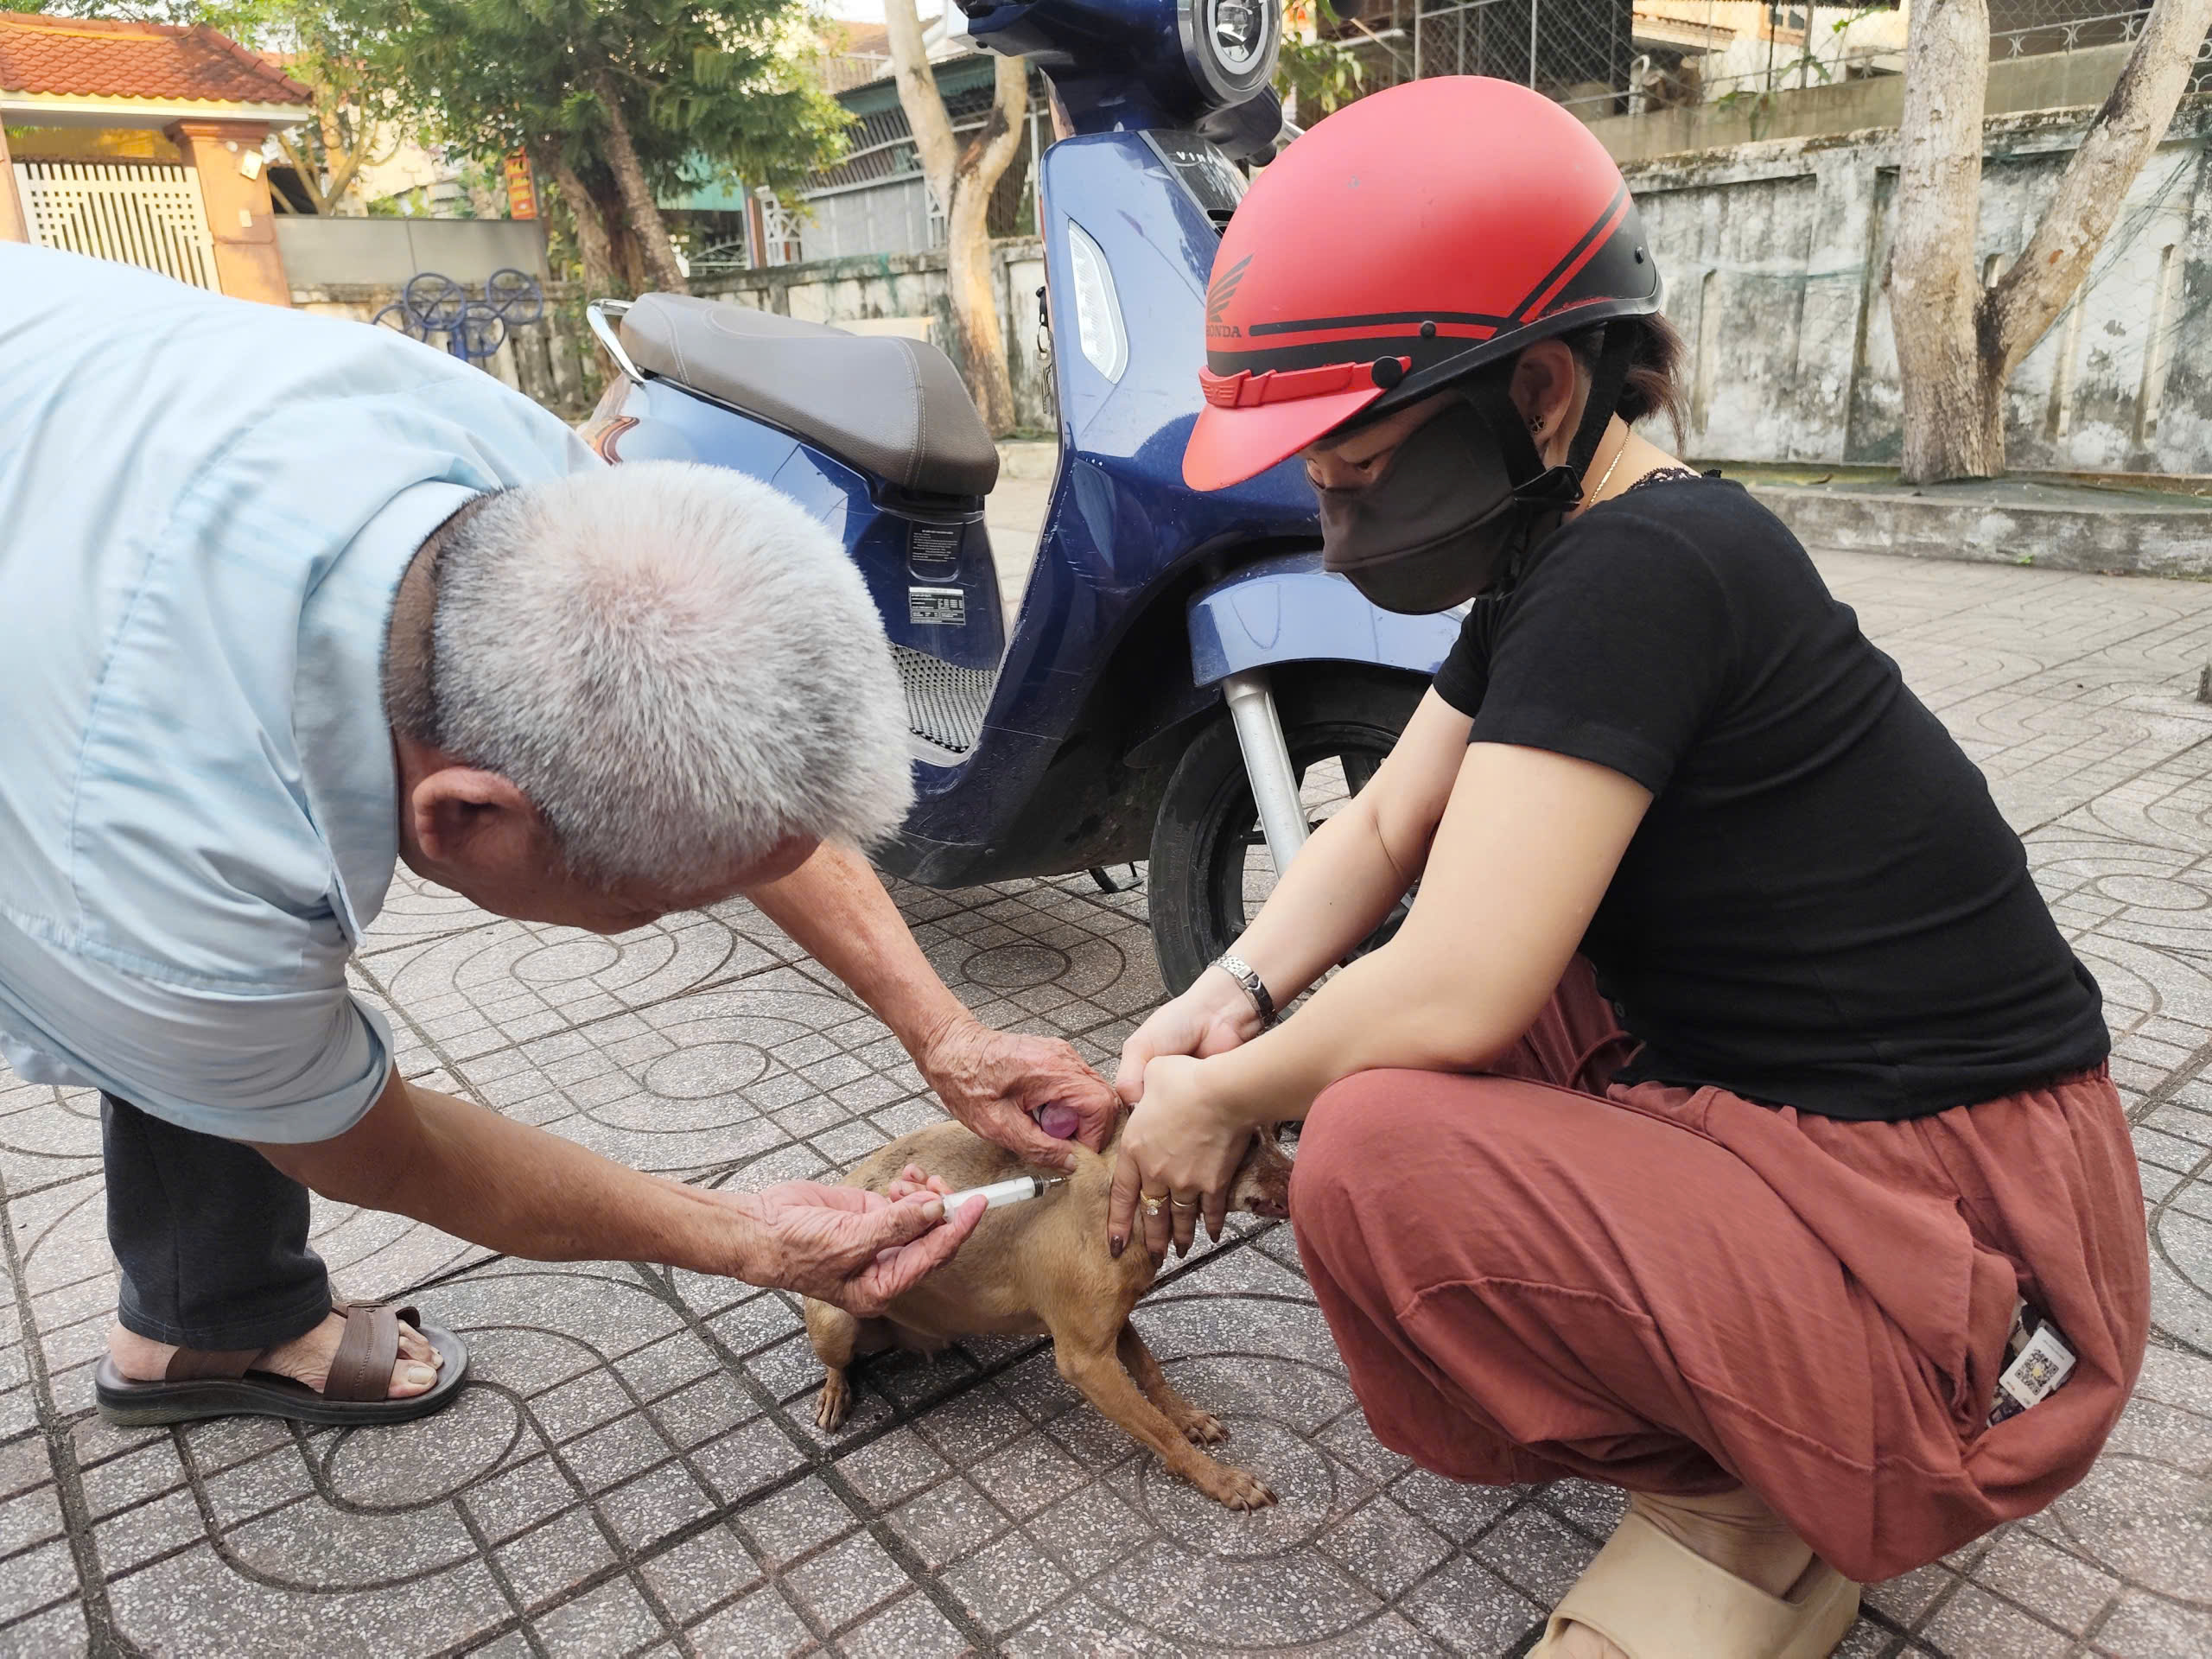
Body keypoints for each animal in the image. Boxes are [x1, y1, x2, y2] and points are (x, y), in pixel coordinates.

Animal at [802, 1115, 1293, 1509]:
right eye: (1239, 1147)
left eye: (1278, 1130)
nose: (1299, 1181)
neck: (1121, 1192)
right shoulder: (1085, 1360)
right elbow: (1160, 1430)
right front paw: (1220, 1479)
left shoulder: (1114, 1322)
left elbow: (1152, 1372)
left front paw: (1186, 1415)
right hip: (835, 1323)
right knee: (838, 1361)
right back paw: (835, 1391)